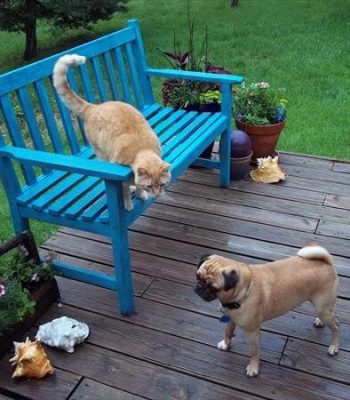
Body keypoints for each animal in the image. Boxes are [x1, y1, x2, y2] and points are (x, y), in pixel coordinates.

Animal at [52, 54, 171, 211]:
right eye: (150, 186)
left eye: (162, 184)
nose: (157, 194)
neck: (142, 149)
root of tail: (92, 107)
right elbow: (124, 191)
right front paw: (128, 204)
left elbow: (137, 185)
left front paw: (140, 193)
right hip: (102, 155)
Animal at [194, 244, 340, 378]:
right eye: (198, 276)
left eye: (213, 287)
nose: (199, 286)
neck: (245, 290)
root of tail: (325, 263)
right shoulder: (231, 318)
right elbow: (228, 332)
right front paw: (225, 344)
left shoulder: (252, 332)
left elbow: (254, 352)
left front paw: (253, 368)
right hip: (322, 308)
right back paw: (319, 321)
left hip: (324, 309)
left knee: (336, 327)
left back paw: (334, 347)